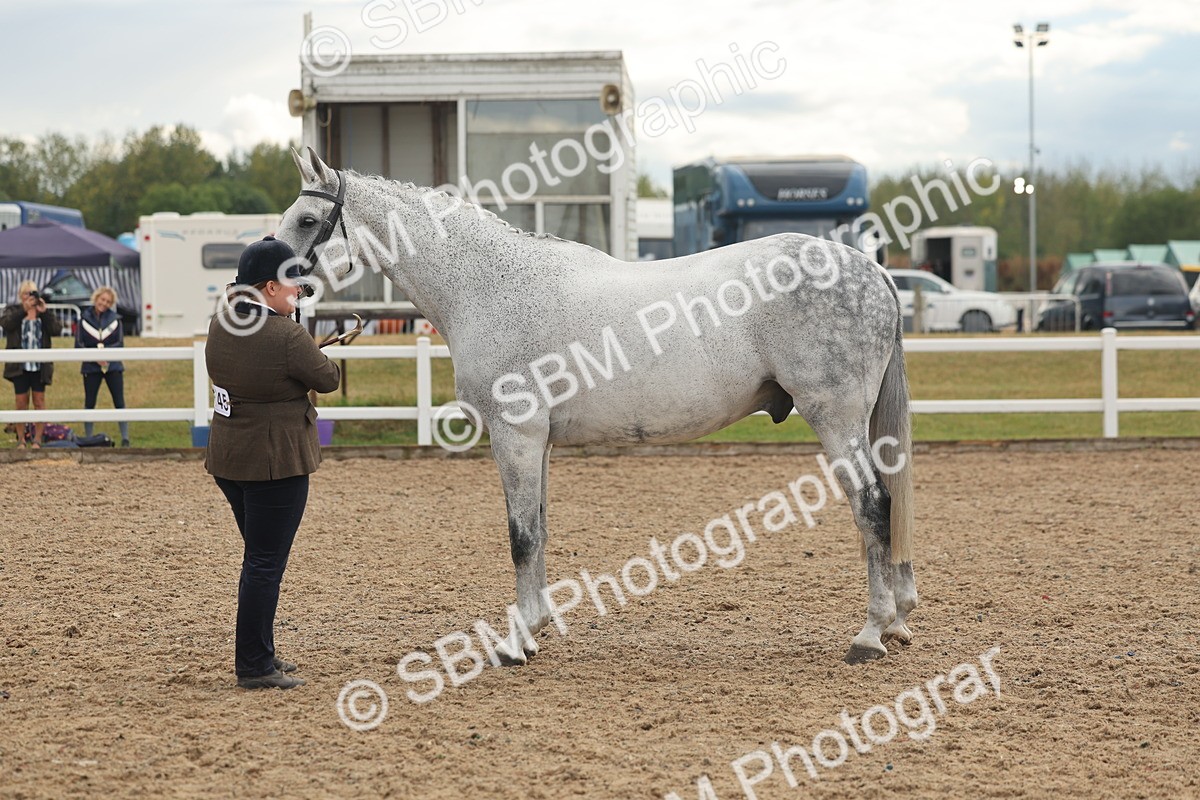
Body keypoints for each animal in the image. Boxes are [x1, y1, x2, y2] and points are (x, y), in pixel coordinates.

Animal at [275, 147, 918, 665]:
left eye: (306, 220)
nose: (262, 279)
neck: (485, 286)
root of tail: (871, 268)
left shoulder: (515, 434)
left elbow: (520, 535)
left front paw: (516, 644)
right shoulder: (538, 440)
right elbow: (540, 527)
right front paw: (539, 625)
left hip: (836, 419)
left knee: (872, 506)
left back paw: (870, 634)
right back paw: (896, 621)